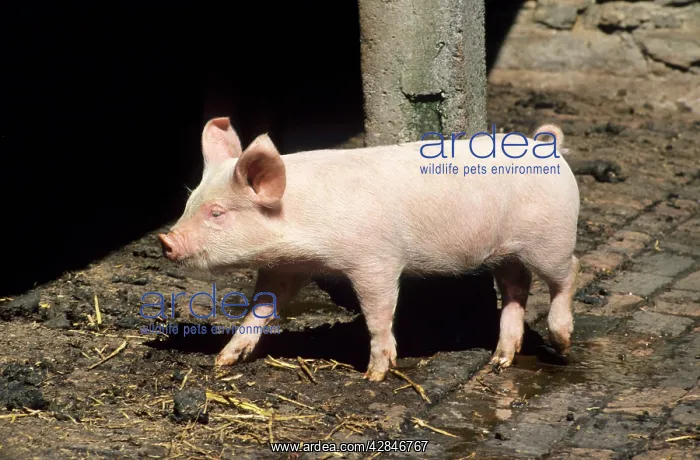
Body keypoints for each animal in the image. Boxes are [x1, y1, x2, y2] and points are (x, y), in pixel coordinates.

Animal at [158, 117, 580, 381]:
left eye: (217, 212)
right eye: (190, 203)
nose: (165, 240)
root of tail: (548, 147)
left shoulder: (375, 260)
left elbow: (378, 314)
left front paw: (373, 375)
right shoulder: (286, 267)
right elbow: (262, 306)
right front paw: (224, 359)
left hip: (551, 239)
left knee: (568, 273)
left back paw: (561, 343)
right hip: (506, 251)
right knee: (516, 286)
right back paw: (500, 361)